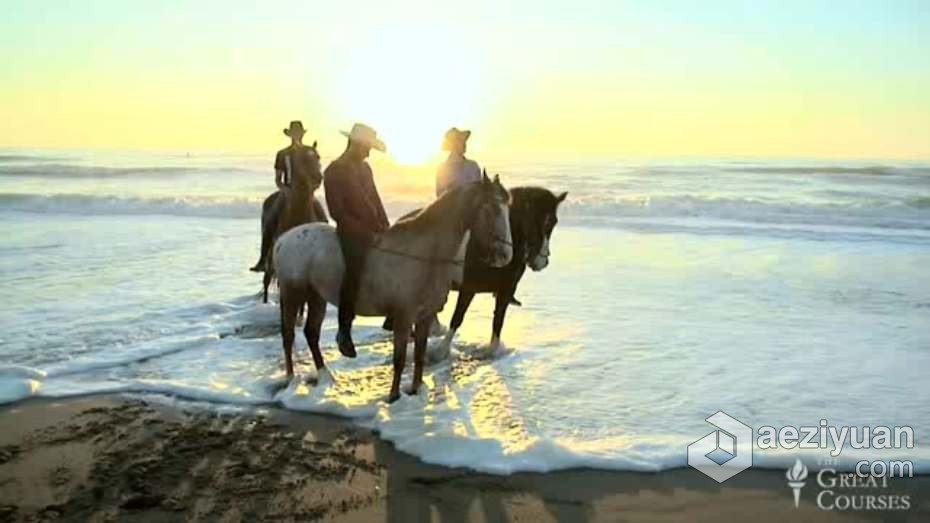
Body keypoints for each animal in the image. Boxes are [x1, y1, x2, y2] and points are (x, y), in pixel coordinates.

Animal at [436, 186, 564, 358]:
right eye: (536, 220)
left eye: (554, 222)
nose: (542, 262)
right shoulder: (470, 289)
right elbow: (458, 317)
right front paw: (442, 350)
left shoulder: (504, 291)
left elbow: (498, 320)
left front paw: (492, 350)